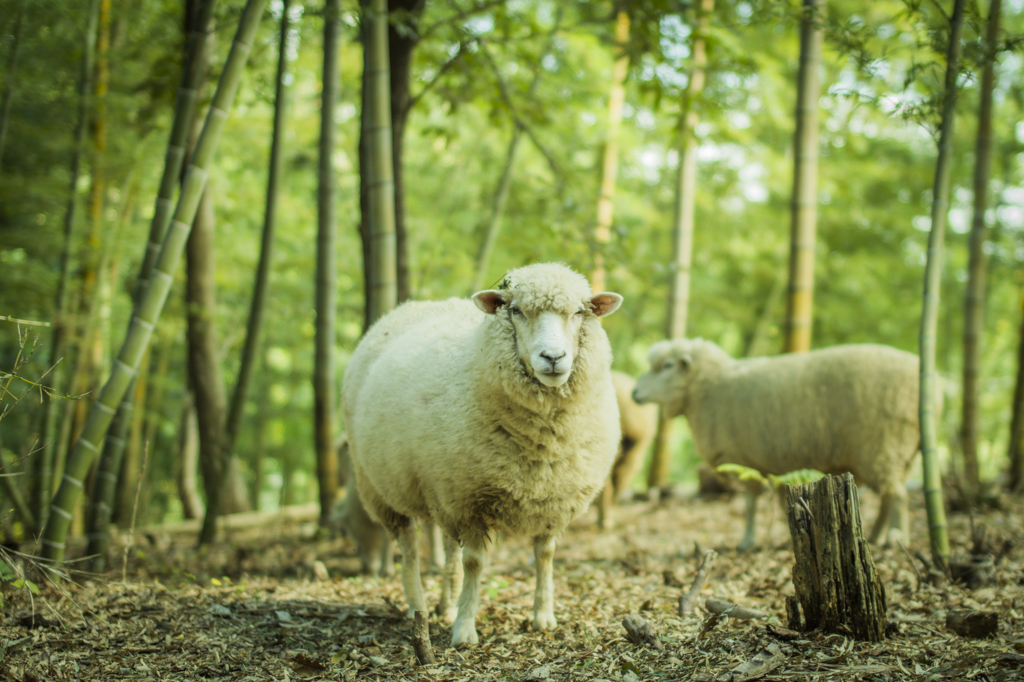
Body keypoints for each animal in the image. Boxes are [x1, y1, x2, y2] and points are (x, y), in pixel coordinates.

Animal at [342, 262, 622, 647]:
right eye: (516, 310)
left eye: (579, 313)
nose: (553, 358)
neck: (542, 439)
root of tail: (411, 306)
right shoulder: (471, 502)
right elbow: (474, 563)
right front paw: (464, 630)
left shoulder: (552, 498)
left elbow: (545, 556)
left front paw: (543, 617)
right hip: (384, 488)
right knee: (410, 549)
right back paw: (419, 609)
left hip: (441, 484)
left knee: (447, 547)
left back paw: (446, 605)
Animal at [630, 337, 929, 548]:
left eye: (667, 366)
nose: (634, 392)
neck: (706, 387)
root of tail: (932, 381)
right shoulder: (773, 462)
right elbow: (778, 498)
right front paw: (784, 536)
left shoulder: (745, 460)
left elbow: (750, 502)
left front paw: (747, 541)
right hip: (895, 453)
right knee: (890, 495)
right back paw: (876, 534)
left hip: (884, 445)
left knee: (897, 495)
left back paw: (895, 538)